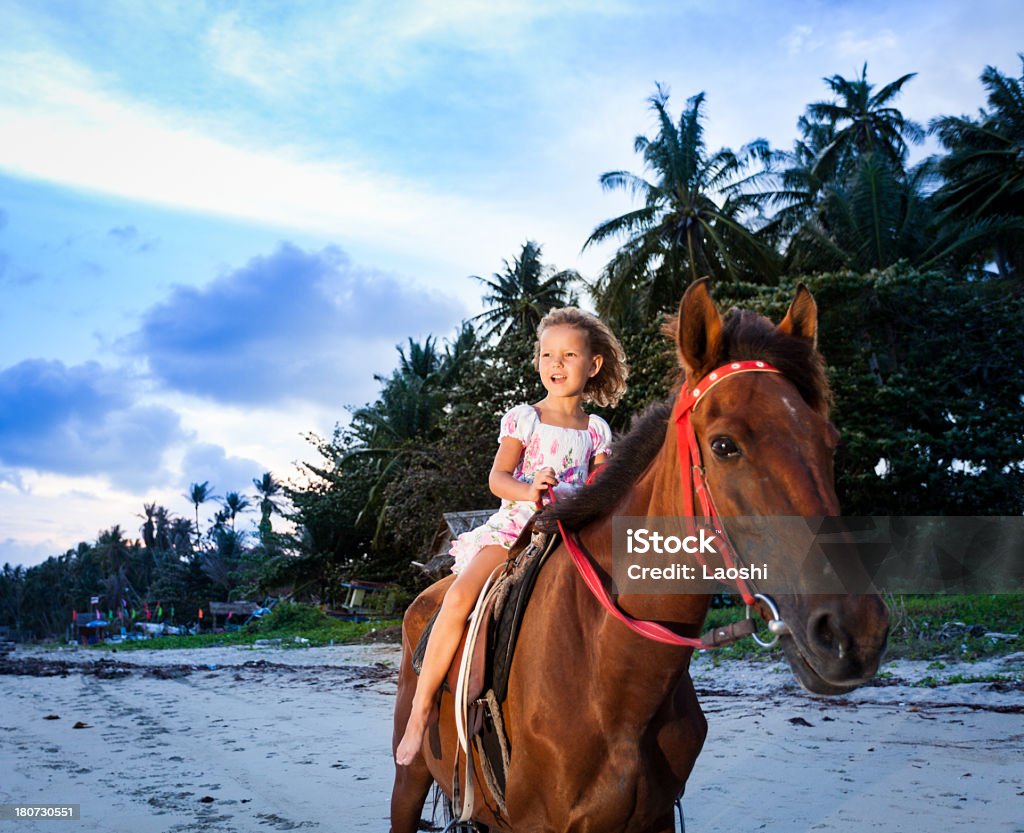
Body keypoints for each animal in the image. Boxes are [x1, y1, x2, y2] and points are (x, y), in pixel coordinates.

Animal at [389, 280, 888, 831]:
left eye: (830, 442)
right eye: (724, 446)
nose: (854, 632)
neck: (613, 679)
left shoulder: (656, 817)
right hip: (408, 783)